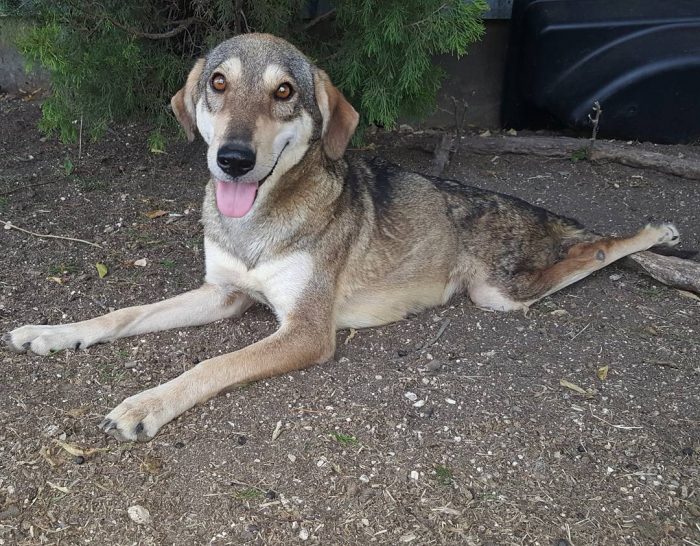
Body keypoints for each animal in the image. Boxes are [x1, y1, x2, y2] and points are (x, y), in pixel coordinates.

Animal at [2, 34, 680, 440]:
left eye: (284, 91)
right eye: (217, 83)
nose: (233, 160)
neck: (255, 225)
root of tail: (526, 206)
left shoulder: (305, 331)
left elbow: (211, 363)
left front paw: (146, 404)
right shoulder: (224, 293)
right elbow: (122, 314)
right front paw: (53, 333)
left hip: (500, 293)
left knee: (596, 249)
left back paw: (654, 231)